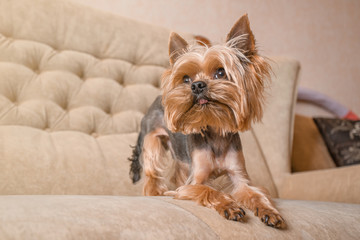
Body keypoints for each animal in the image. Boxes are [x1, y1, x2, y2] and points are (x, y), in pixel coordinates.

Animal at [128, 14, 286, 228]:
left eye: (220, 72)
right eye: (186, 78)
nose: (196, 85)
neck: (215, 128)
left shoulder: (239, 176)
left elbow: (255, 193)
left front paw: (269, 211)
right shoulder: (194, 182)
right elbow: (209, 190)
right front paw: (230, 206)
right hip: (152, 139)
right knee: (152, 171)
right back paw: (156, 192)